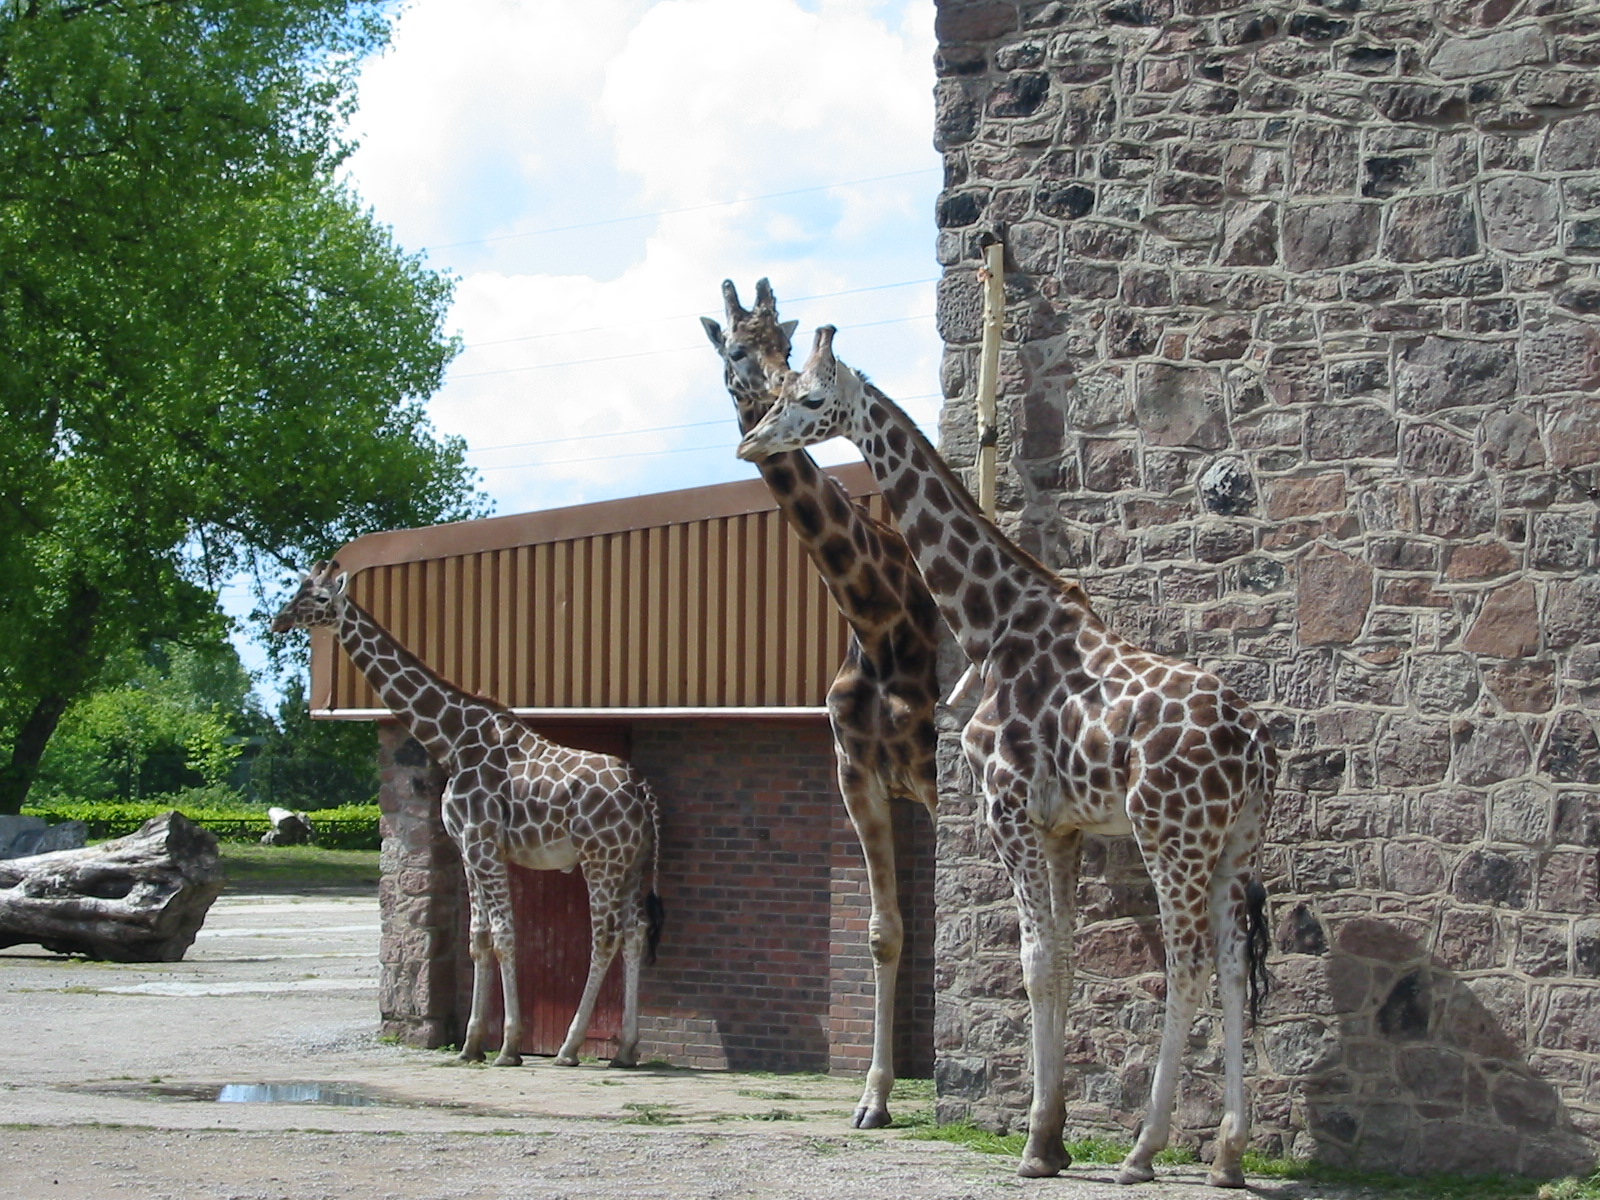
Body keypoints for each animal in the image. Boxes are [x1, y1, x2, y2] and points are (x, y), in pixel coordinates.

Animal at [272, 560, 663, 1069]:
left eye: (320, 599)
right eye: (296, 590)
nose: (278, 621)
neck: (452, 741)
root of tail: (641, 790)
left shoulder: (482, 843)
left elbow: (505, 934)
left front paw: (510, 1046)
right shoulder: (467, 848)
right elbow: (479, 938)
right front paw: (472, 1044)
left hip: (601, 860)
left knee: (606, 937)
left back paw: (568, 1048)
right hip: (632, 862)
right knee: (635, 932)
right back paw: (626, 1050)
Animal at [701, 279, 943, 1130]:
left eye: (785, 344)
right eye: (737, 350)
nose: (767, 402)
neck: (877, 619)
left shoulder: (936, 779)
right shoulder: (857, 777)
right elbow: (884, 932)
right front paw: (874, 1097)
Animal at [736, 325, 1276, 1188]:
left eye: (810, 397)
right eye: (777, 389)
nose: (751, 440)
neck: (990, 622)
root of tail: (1255, 747)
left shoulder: (1007, 809)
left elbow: (1033, 961)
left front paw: (1034, 1143)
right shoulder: (1064, 829)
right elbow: (1062, 961)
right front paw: (1053, 1137)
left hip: (1172, 837)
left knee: (1188, 964)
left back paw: (1143, 1151)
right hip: (1234, 842)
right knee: (1228, 963)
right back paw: (1227, 1154)